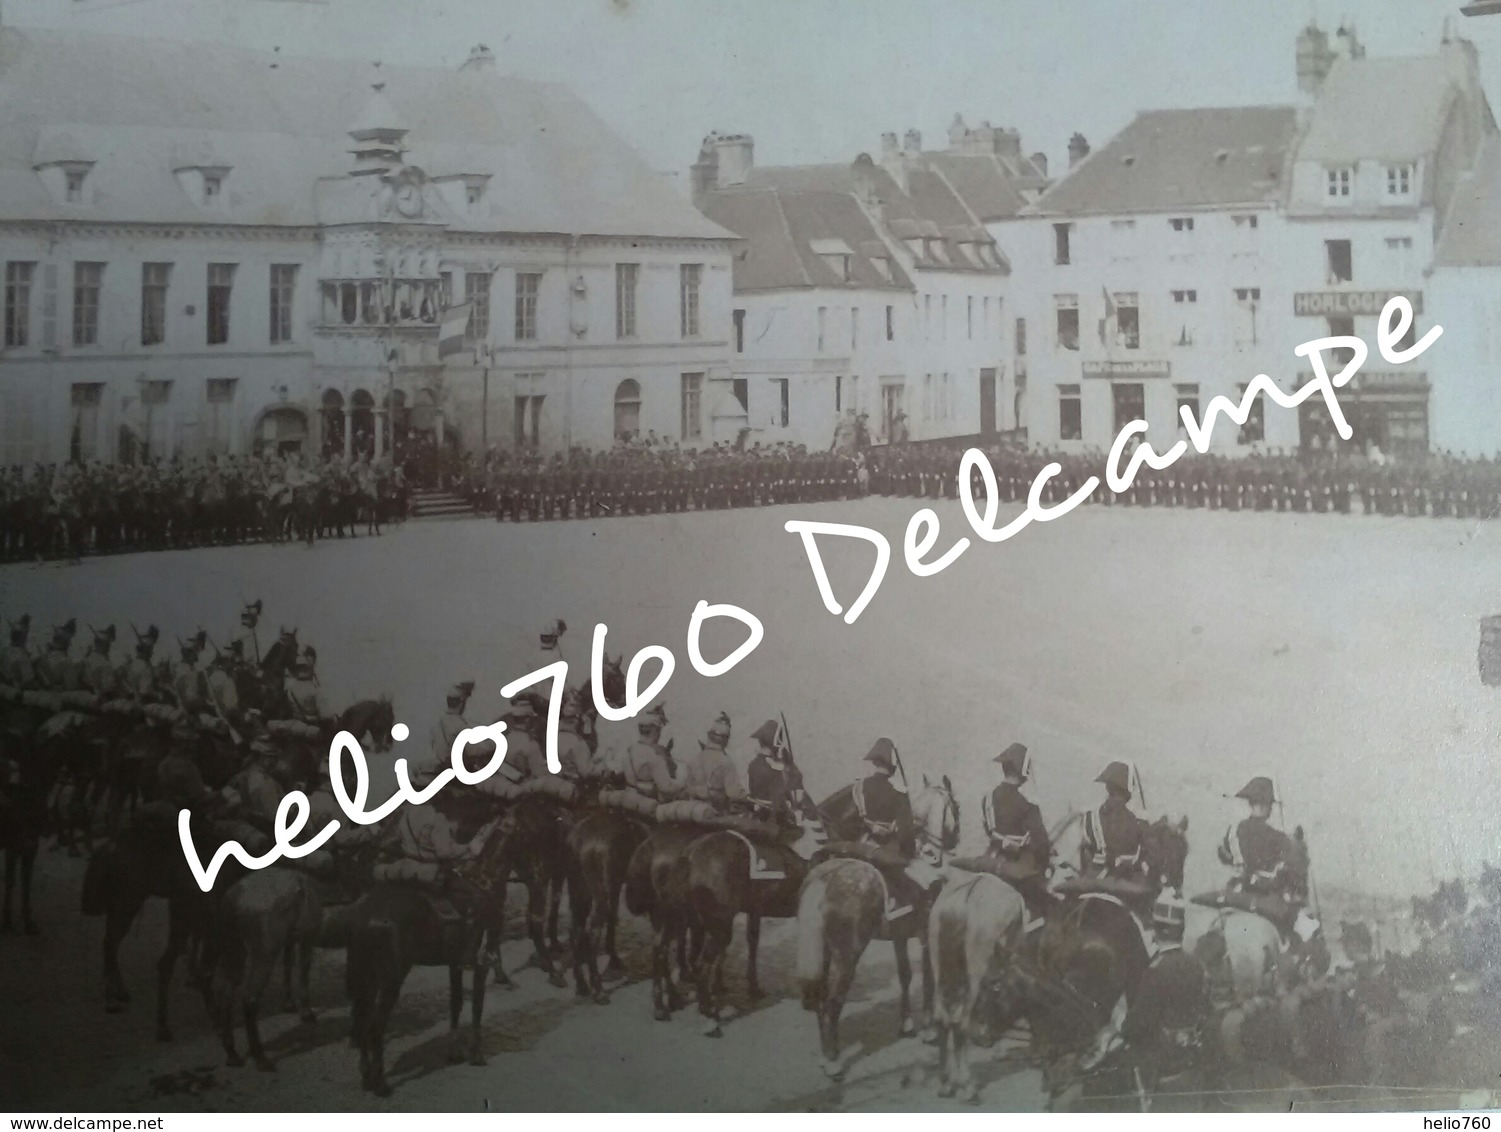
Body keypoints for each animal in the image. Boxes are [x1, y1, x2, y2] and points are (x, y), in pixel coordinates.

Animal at [792, 774, 954, 1074]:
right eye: (954, 807)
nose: (953, 837)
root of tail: (823, 879)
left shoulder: (900, 935)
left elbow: (905, 975)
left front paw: (907, 1024)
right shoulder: (926, 934)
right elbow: (927, 978)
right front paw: (928, 1029)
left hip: (824, 952)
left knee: (820, 995)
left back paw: (825, 1053)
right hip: (847, 955)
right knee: (833, 1000)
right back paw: (833, 1061)